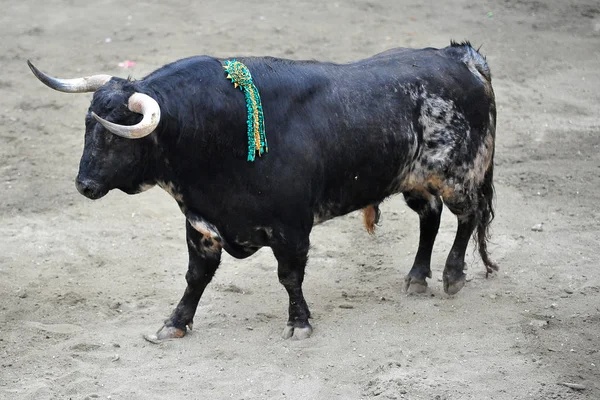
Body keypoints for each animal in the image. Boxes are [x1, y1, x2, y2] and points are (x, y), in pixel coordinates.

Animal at [27, 41, 496, 340]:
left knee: (466, 216)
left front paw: (299, 323)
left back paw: (453, 276)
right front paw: (174, 323)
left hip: (458, 174)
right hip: (414, 178)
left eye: (116, 136)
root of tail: (459, 56)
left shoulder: (291, 228)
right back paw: (417, 277)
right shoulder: (201, 225)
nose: (84, 185)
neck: (216, 133)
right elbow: (196, 276)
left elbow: (289, 276)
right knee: (429, 216)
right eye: (88, 126)